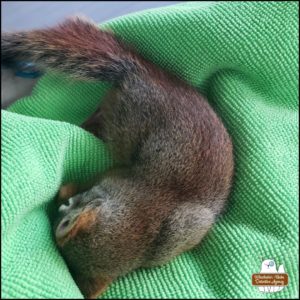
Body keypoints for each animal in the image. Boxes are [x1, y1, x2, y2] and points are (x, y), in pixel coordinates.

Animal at [1, 17, 234, 298]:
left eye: (65, 221)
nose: (63, 207)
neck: (137, 221)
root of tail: (140, 74)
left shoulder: (114, 179)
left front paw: (65, 189)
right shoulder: (116, 178)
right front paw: (65, 189)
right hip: (127, 118)